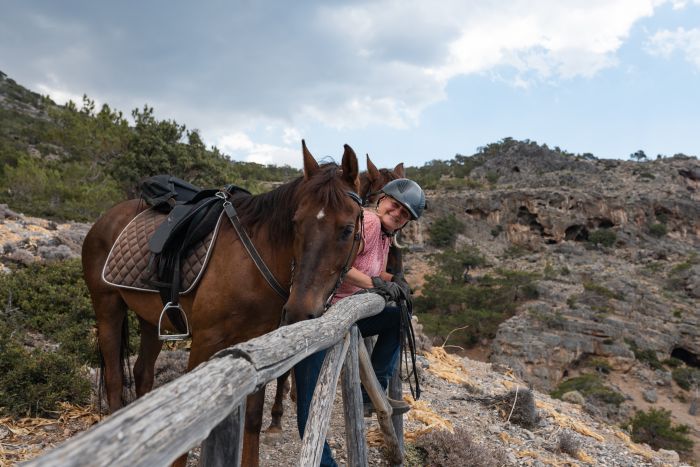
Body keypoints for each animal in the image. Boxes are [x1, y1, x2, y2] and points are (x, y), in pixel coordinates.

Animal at [83, 141, 360, 466]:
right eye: (295, 223)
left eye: (347, 229)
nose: (299, 311)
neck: (253, 261)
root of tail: (105, 219)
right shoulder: (205, 340)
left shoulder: (259, 346)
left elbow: (252, 419)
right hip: (107, 308)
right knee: (115, 379)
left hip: (150, 321)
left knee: (142, 374)